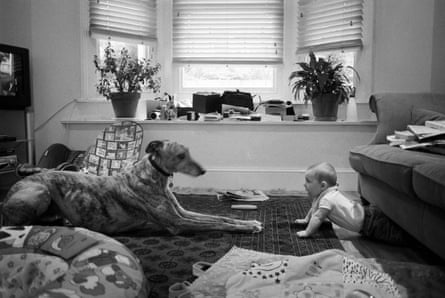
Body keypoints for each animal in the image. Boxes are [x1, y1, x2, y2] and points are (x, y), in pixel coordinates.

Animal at [1, 140, 262, 235]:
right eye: (180, 156)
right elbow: (217, 223)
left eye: (189, 152)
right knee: (18, 223)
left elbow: (220, 217)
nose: (204, 171)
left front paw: (248, 221)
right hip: (41, 192)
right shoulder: (177, 223)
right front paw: (249, 227)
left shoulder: (182, 213)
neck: (153, 178)